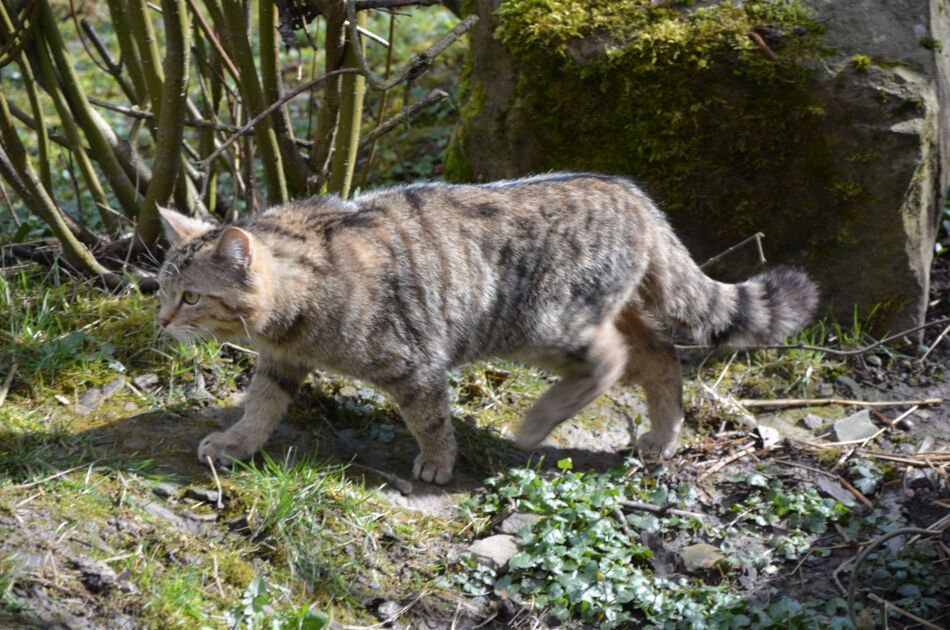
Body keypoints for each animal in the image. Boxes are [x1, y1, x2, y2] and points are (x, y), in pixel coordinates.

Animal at [156, 175, 820, 486]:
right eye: (160, 289)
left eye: (189, 296)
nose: (160, 321)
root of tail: (633, 195)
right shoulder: (280, 362)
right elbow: (261, 406)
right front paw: (237, 442)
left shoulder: (415, 364)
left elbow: (430, 419)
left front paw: (437, 462)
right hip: (601, 317)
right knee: (661, 357)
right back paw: (661, 438)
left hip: (544, 326)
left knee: (612, 361)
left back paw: (537, 423)